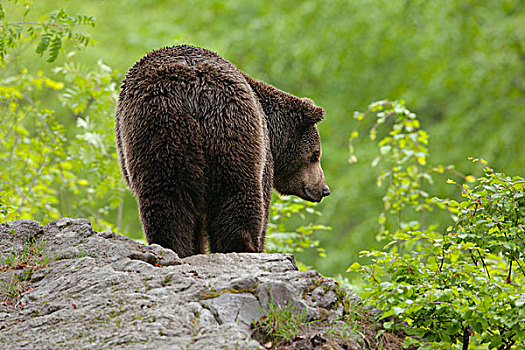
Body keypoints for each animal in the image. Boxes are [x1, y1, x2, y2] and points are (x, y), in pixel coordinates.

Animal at [115, 45, 328, 258]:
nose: (324, 189)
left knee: (166, 199)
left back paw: (174, 246)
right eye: (315, 155)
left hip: (160, 133)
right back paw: (242, 246)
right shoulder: (265, 153)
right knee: (239, 195)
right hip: (232, 127)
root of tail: (195, 92)